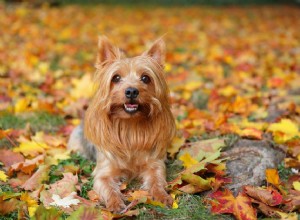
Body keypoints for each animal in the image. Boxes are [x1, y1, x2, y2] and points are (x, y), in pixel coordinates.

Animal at [67, 37, 176, 212]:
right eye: (116, 78)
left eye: (145, 78)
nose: (131, 91)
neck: (130, 125)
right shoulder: (104, 171)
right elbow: (108, 187)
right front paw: (115, 203)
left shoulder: (154, 164)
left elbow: (157, 180)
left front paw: (162, 196)